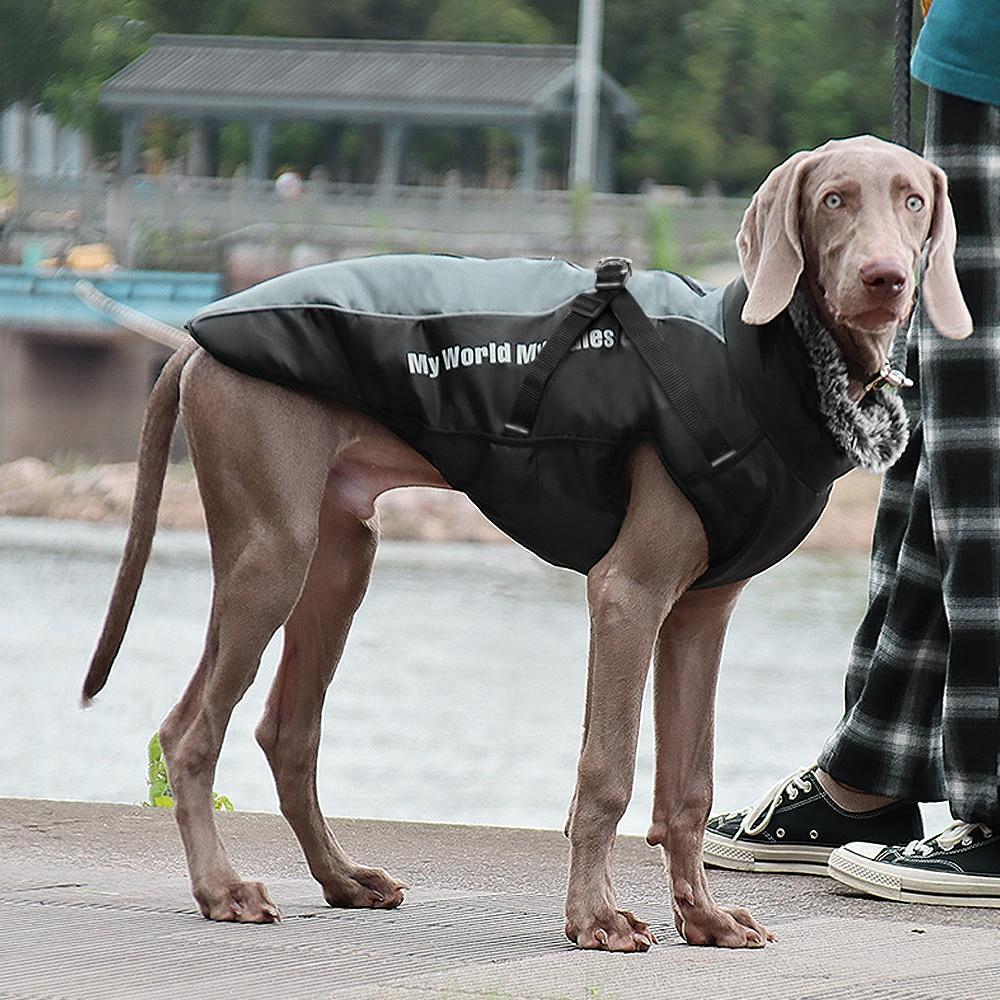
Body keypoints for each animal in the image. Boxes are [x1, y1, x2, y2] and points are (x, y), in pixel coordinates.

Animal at [84, 135, 968, 952]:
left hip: (340, 559)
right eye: (834, 199)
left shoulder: (700, 614)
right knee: (188, 731)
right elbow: (606, 772)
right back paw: (223, 889)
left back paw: (343, 878)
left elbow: (690, 785)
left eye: (913, 200)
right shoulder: (628, 594)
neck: (770, 359)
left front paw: (705, 919)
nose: (886, 279)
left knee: (286, 732)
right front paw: (596, 919)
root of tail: (196, 336)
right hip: (273, 550)